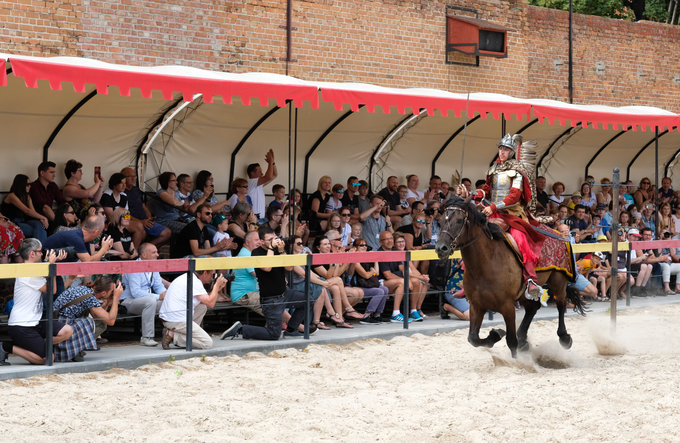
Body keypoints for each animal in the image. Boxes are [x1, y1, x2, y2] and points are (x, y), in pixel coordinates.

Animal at [436, 196, 584, 360]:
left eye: (459, 220)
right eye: (441, 220)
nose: (441, 248)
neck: (485, 265)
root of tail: (558, 233)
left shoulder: (507, 306)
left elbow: (511, 341)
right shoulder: (476, 306)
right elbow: (473, 338)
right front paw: (495, 335)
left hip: (558, 280)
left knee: (560, 304)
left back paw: (564, 337)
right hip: (525, 292)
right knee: (533, 308)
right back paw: (524, 340)